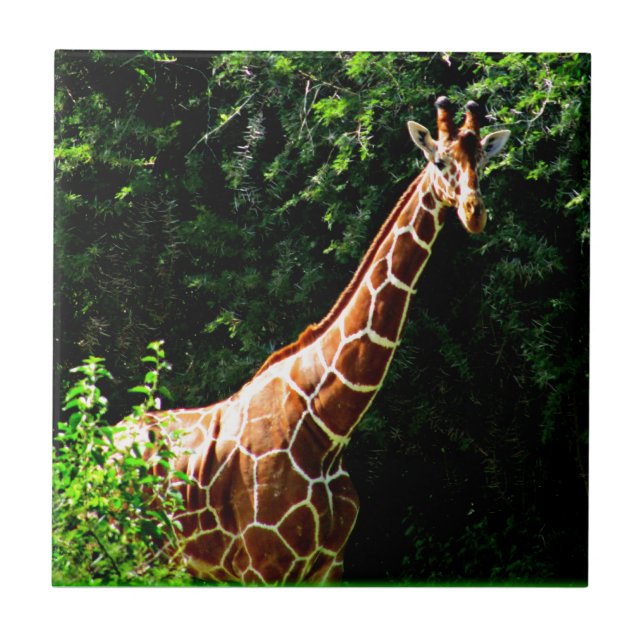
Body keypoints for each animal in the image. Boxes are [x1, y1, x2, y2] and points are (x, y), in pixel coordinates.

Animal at [122, 97, 510, 584]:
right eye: (440, 161)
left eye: (484, 162)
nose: (474, 213)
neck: (328, 428)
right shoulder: (263, 567)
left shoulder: (329, 564)